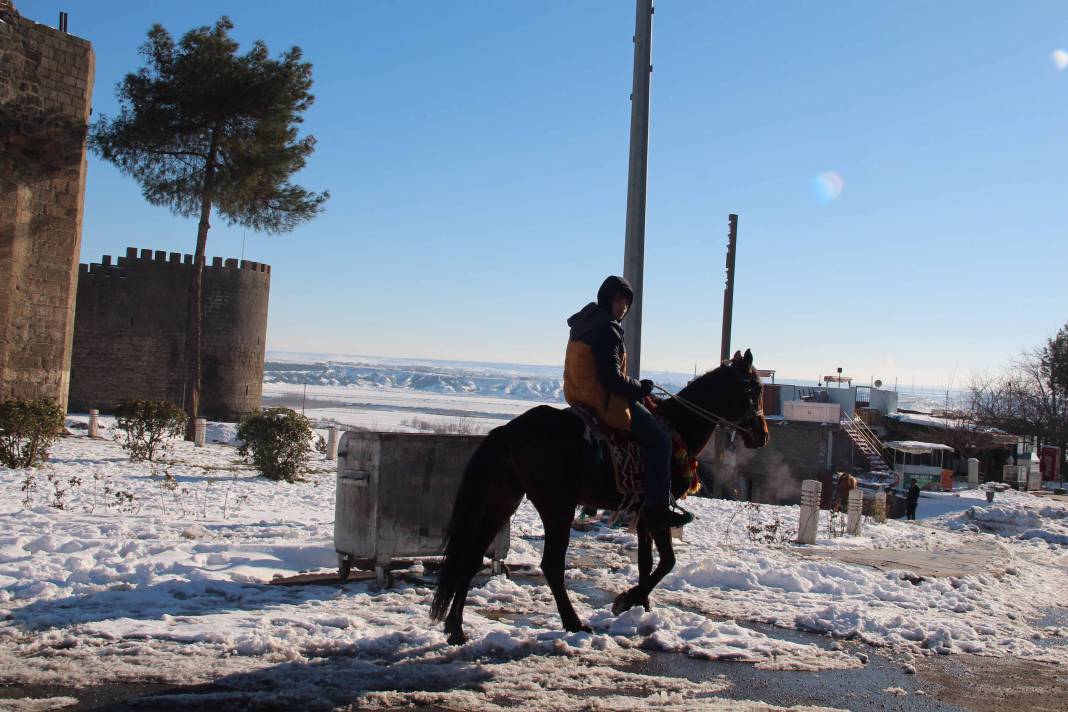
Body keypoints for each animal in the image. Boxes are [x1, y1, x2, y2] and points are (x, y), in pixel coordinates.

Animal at [425, 350, 768, 644]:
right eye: (754, 389)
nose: (762, 435)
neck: (678, 427)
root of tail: (507, 431)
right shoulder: (658, 512)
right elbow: (667, 562)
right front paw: (626, 600)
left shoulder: (644, 513)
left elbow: (646, 562)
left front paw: (642, 608)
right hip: (557, 507)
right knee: (551, 565)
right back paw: (574, 623)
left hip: (503, 501)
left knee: (471, 559)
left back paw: (456, 629)